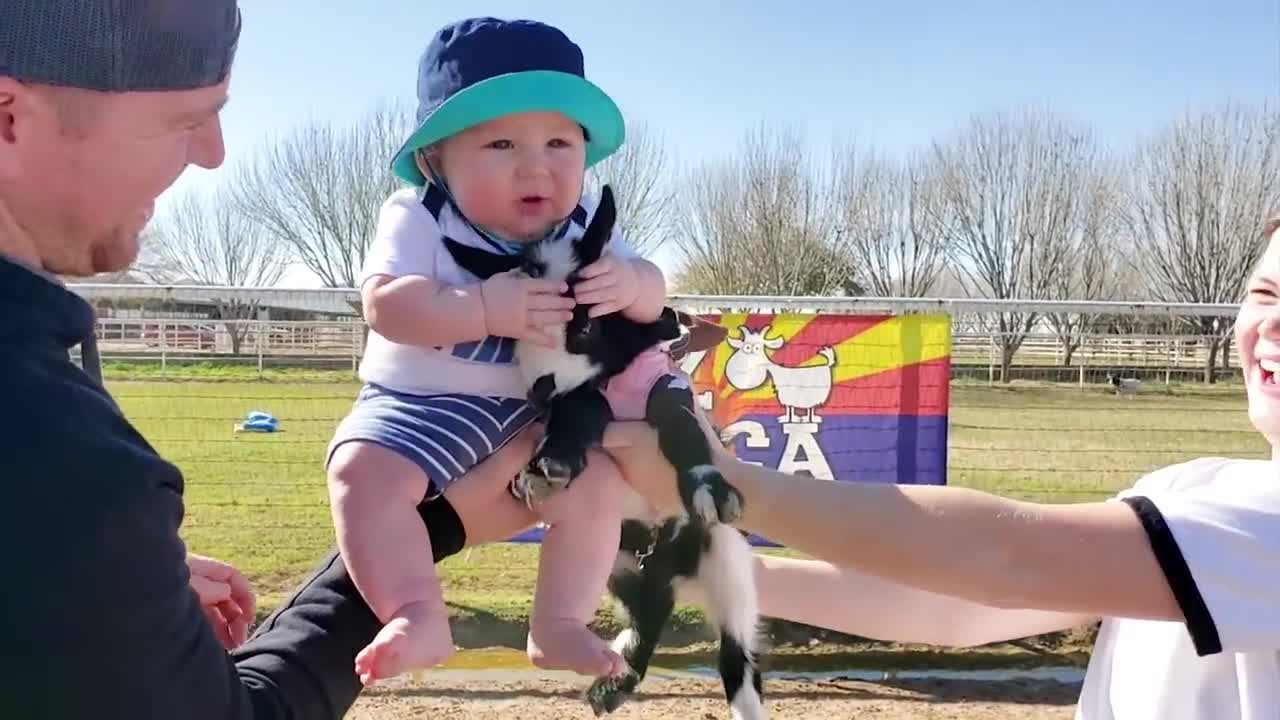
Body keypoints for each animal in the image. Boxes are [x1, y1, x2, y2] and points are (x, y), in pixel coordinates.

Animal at [445, 185, 762, 717]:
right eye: (514, 332)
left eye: (585, 327)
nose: (539, 391)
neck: (612, 375)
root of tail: (671, 560)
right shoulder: (583, 398)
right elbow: (581, 410)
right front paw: (544, 469)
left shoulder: (662, 384)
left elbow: (680, 424)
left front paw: (709, 488)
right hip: (619, 563)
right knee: (653, 607)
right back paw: (611, 684)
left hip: (726, 558)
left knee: (736, 653)